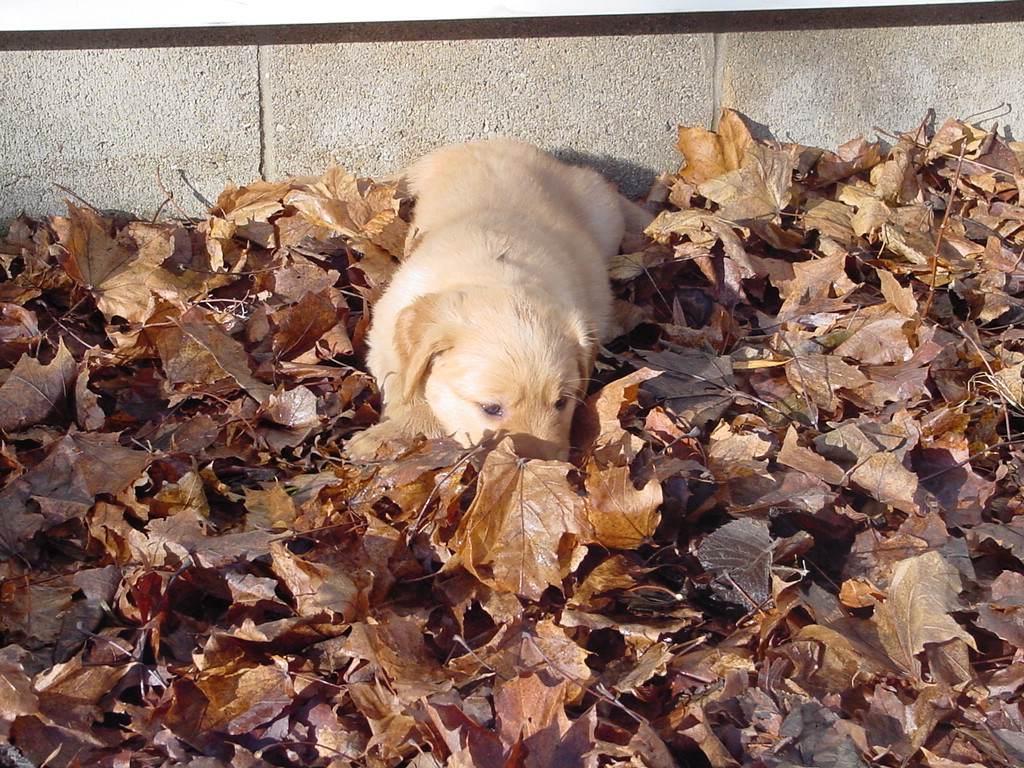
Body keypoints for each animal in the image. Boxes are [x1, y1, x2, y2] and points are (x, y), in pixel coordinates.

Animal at [348, 138, 643, 460]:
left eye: (561, 402)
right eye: (490, 408)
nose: (544, 467)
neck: (496, 270)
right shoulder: (385, 331)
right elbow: (402, 383)